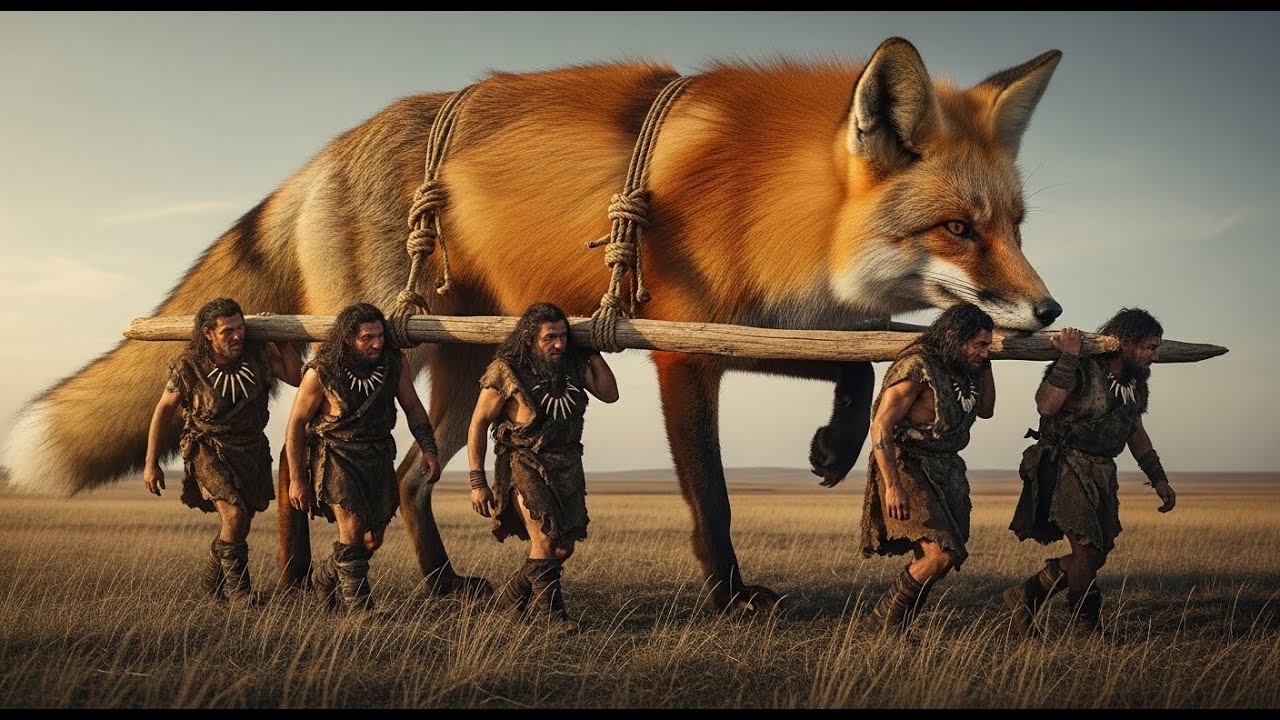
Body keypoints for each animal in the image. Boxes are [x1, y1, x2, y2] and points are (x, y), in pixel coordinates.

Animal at [3, 37, 1061, 612]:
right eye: (957, 230)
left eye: (1015, 225)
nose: (1050, 311)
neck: (771, 197)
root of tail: (330, 149)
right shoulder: (678, 346)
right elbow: (713, 499)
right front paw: (728, 596)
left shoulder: (750, 328)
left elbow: (851, 368)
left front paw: (834, 446)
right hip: (378, 343)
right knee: (302, 452)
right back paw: (302, 575)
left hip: (454, 370)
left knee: (409, 479)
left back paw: (436, 583)